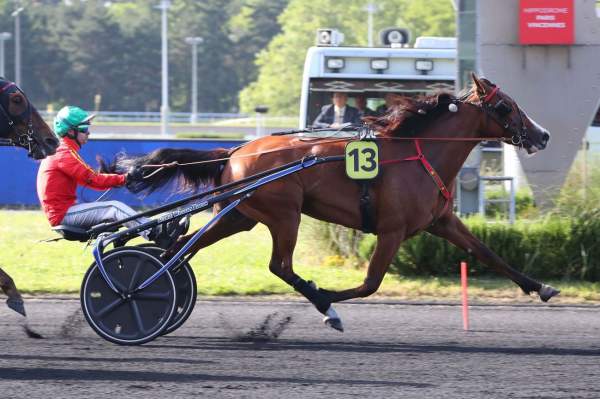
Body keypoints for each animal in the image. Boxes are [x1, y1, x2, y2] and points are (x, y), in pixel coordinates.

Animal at [111, 75, 556, 332]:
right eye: (506, 106)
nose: (543, 135)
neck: (418, 154)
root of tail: (236, 150)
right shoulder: (392, 230)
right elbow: (370, 283)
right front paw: (327, 298)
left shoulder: (441, 222)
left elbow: (487, 252)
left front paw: (541, 287)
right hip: (284, 213)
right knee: (279, 265)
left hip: (239, 215)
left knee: (179, 250)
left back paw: (152, 288)